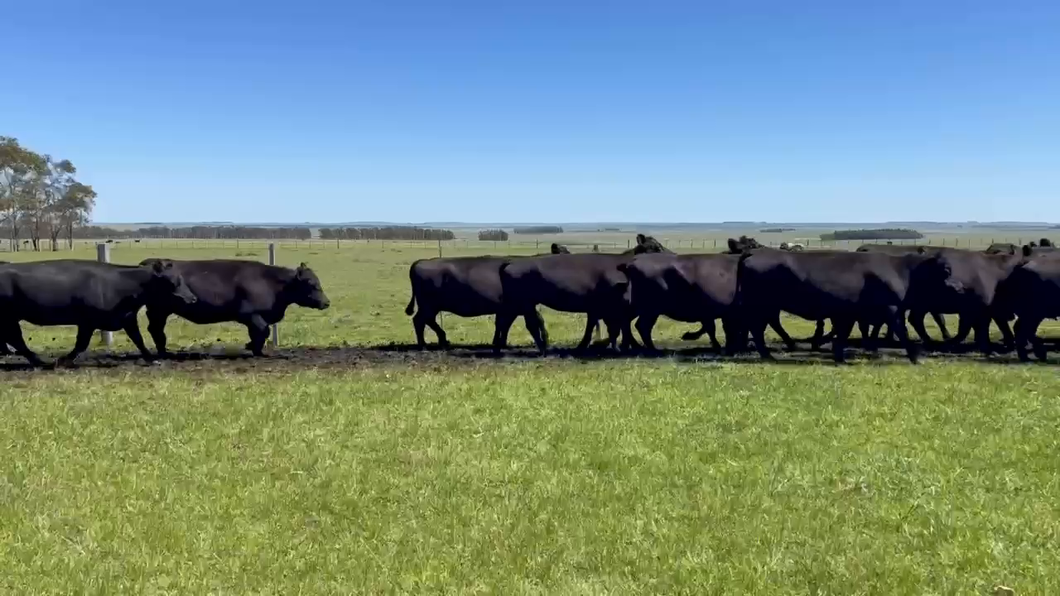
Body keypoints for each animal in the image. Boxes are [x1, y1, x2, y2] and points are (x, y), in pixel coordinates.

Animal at [0, 257, 197, 364]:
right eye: (173, 282)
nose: (193, 298)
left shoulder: (127, 317)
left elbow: (138, 340)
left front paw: (152, 358)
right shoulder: (87, 321)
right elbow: (81, 344)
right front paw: (64, 360)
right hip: (8, 317)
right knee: (16, 339)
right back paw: (38, 361)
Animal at [138, 257, 326, 354]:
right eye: (312, 284)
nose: (327, 302)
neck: (270, 282)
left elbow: (258, 333)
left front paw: (254, 348)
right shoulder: (251, 315)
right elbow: (263, 331)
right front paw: (253, 348)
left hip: (159, 311)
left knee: (155, 329)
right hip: (159, 311)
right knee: (155, 329)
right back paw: (163, 352)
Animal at [733, 248, 924, 360]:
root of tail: (757, 252)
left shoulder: (850, 312)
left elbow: (844, 332)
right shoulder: (891, 308)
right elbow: (900, 330)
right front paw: (914, 355)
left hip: (767, 305)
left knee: (763, 325)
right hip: (761, 304)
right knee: (757, 327)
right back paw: (768, 354)